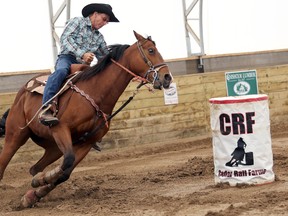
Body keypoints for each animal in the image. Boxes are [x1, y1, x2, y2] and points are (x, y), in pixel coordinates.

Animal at [0, 30, 172, 208]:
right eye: (151, 50)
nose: (167, 77)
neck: (95, 93)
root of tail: (22, 92)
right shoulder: (61, 128)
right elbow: (67, 161)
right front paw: (41, 183)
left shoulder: (86, 142)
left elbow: (65, 172)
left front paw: (34, 192)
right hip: (15, 136)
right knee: (3, 164)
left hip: (53, 147)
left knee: (35, 168)